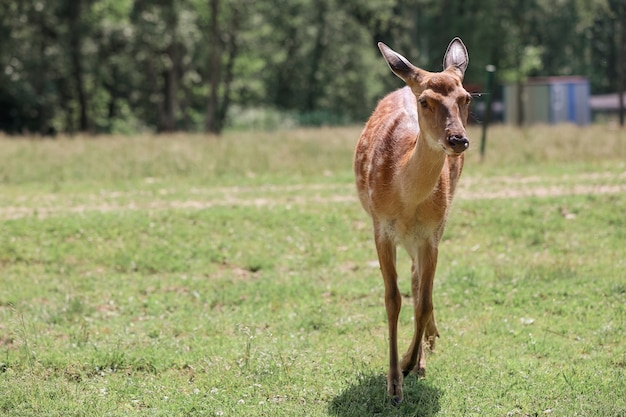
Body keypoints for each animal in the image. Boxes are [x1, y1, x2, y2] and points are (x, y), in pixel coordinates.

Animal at [352, 37, 468, 402]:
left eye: (466, 97)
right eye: (425, 101)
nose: (458, 139)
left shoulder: (431, 234)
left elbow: (424, 301)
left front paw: (407, 363)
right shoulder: (380, 229)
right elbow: (392, 299)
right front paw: (393, 384)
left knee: (419, 285)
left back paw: (424, 352)